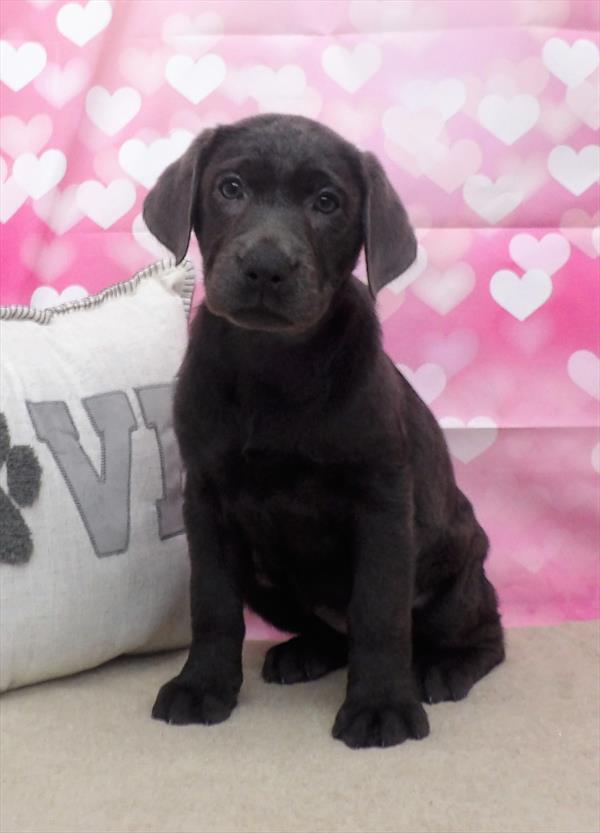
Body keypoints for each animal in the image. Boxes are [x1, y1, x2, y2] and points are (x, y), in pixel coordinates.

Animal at [143, 112, 504, 748]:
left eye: (327, 202)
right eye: (230, 188)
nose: (267, 266)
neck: (274, 365)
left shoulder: (383, 502)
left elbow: (380, 614)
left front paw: (381, 705)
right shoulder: (206, 501)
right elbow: (211, 605)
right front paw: (202, 685)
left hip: (456, 574)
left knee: (483, 631)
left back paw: (443, 667)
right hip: (265, 576)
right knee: (335, 631)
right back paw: (305, 651)